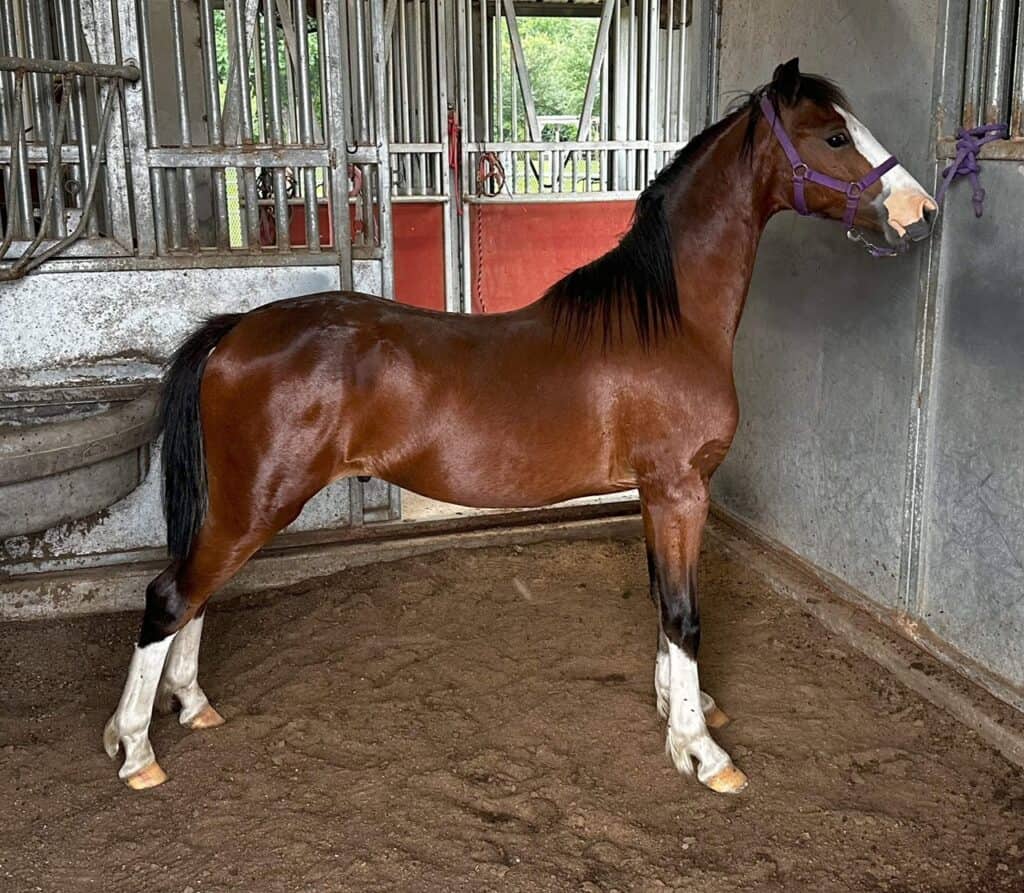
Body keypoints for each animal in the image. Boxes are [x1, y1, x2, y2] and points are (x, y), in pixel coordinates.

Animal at [104, 59, 936, 792]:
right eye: (835, 136)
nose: (922, 212)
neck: (668, 320)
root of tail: (236, 330)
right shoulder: (679, 490)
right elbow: (684, 612)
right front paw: (701, 750)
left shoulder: (657, 494)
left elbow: (661, 600)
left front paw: (676, 707)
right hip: (256, 503)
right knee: (171, 596)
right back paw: (137, 748)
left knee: (198, 594)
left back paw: (193, 706)